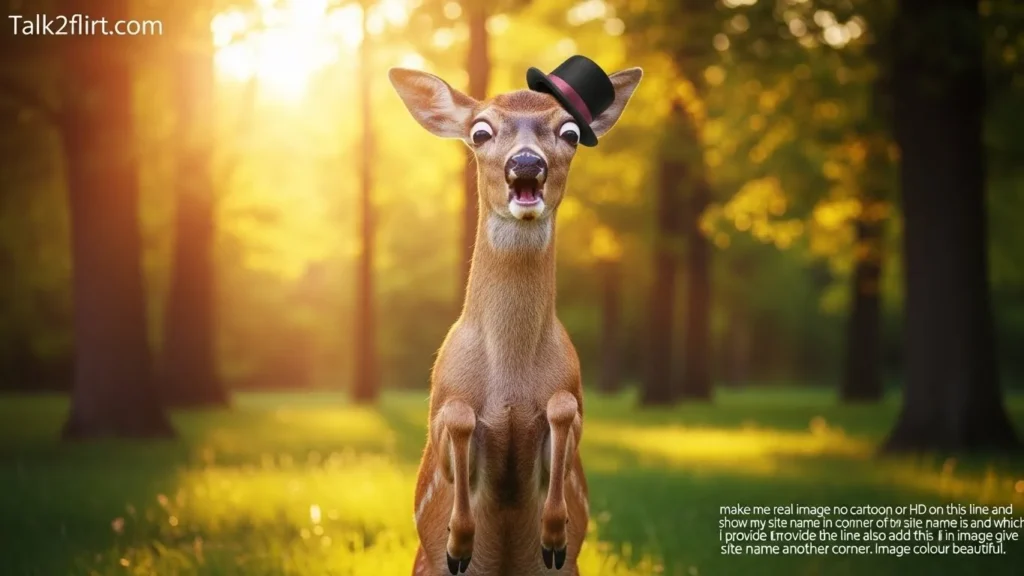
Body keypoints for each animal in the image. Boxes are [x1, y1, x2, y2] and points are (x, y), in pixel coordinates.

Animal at [388, 56, 642, 576]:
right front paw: (460, 544)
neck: (510, 377)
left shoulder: (574, 407)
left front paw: (553, 536)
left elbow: (563, 409)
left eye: (569, 131)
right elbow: (459, 417)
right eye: (480, 131)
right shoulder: (439, 413)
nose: (526, 163)